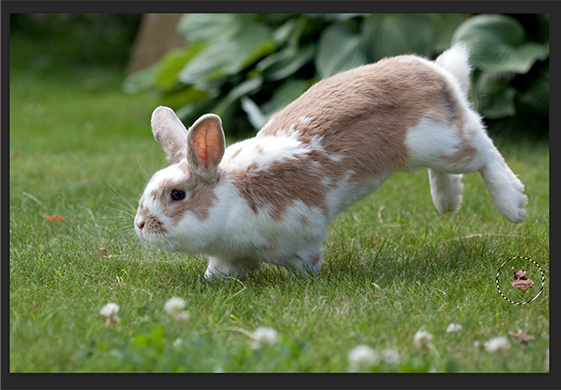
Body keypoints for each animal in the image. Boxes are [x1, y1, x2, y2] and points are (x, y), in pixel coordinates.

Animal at [133, 43, 528, 280]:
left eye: (177, 195)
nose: (140, 225)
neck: (231, 196)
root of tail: (439, 73)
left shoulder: (302, 235)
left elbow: (306, 263)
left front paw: (308, 281)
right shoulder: (230, 256)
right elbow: (219, 270)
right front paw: (211, 281)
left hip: (443, 142)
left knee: (484, 148)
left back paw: (514, 205)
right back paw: (448, 201)